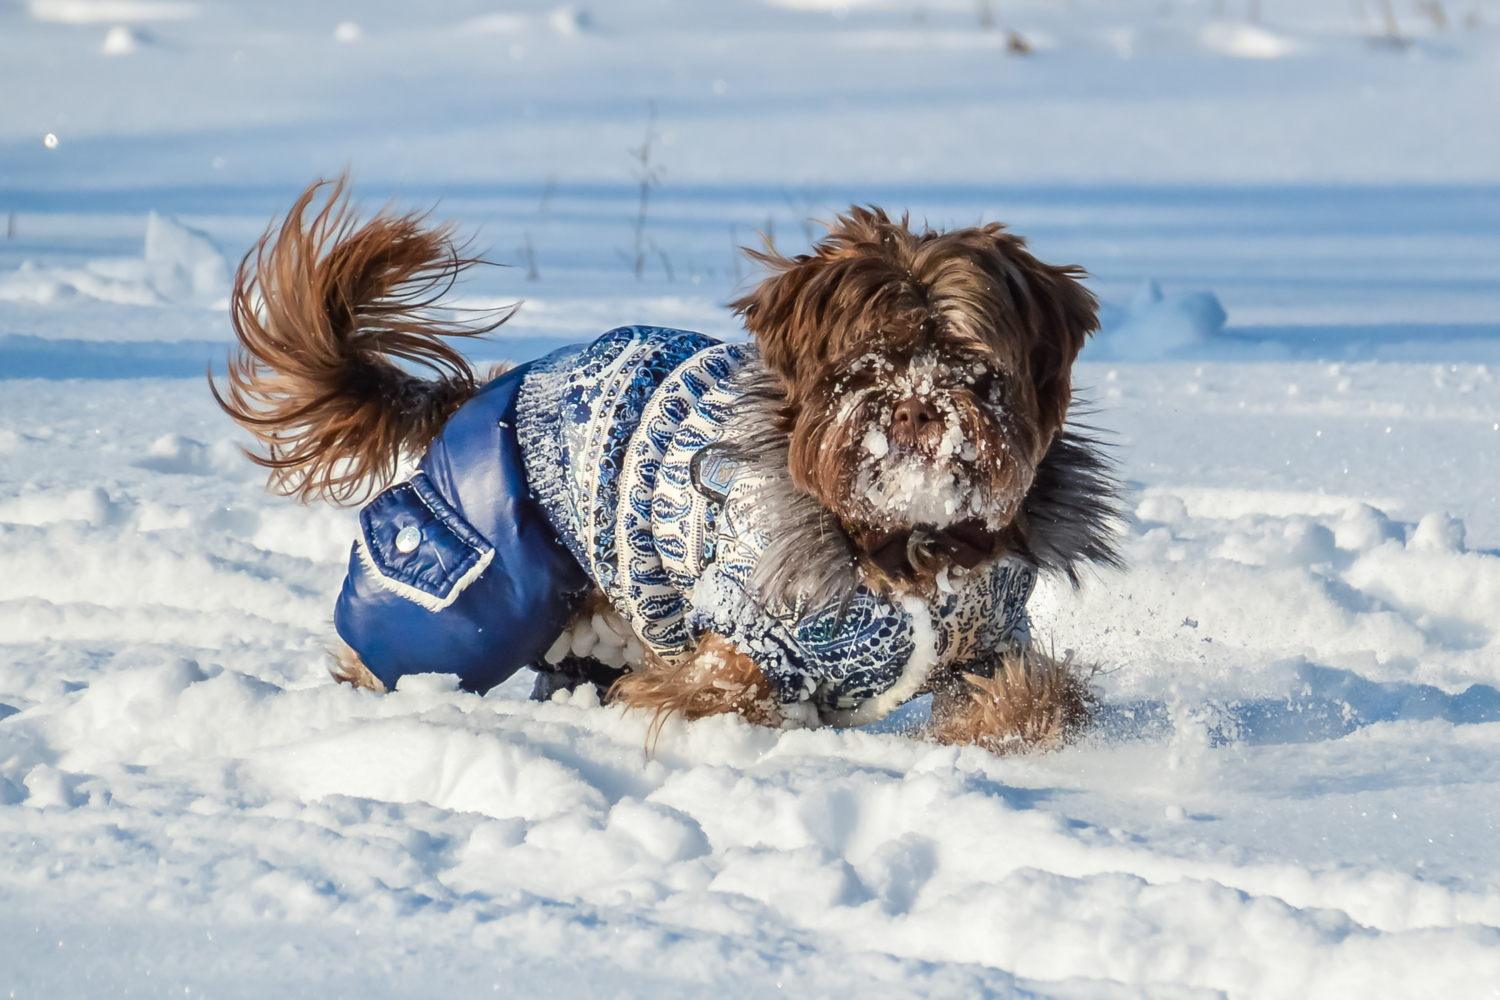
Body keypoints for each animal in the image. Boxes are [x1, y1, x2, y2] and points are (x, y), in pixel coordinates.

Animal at [217, 183, 1122, 755]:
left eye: (972, 362)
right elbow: (731, 693)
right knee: (397, 654)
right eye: (863, 364)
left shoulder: (991, 637)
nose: (914, 408)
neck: (901, 546)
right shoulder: (746, 630)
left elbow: (1042, 697)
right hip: (470, 589)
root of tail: (484, 392)